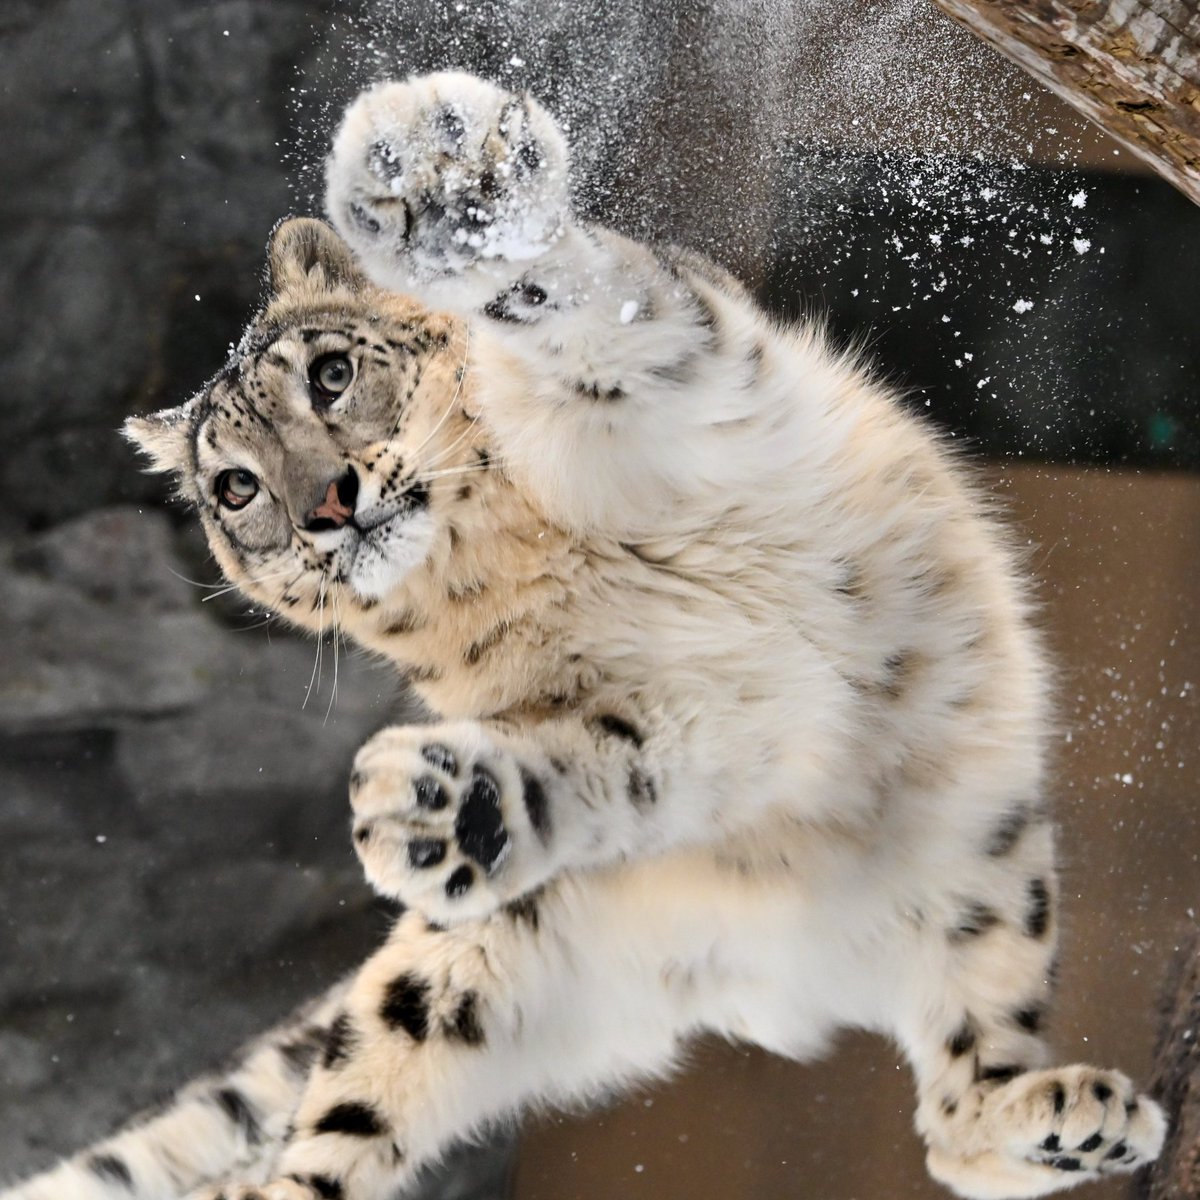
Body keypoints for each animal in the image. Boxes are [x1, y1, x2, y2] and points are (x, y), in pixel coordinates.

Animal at [5, 70, 1165, 1200]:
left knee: (962, 1087)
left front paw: (445, 185)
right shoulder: (657, 715)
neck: (499, 555)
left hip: (989, 863)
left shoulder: (681, 375)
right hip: (472, 962)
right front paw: (438, 808)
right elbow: (612, 763)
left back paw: (1067, 1119)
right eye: (236, 486)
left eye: (330, 373)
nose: (326, 505)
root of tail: (782, 976)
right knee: (336, 1121)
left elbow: (595, 310)